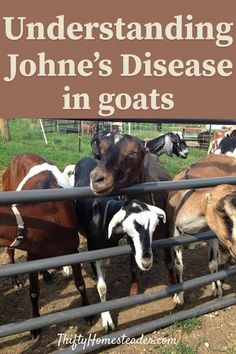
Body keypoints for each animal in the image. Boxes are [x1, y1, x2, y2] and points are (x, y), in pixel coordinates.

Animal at [74, 156, 165, 334]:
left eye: (153, 228)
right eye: (129, 229)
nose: (146, 262)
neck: (103, 214)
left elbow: (105, 267)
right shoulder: (92, 251)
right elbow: (101, 287)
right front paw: (106, 320)